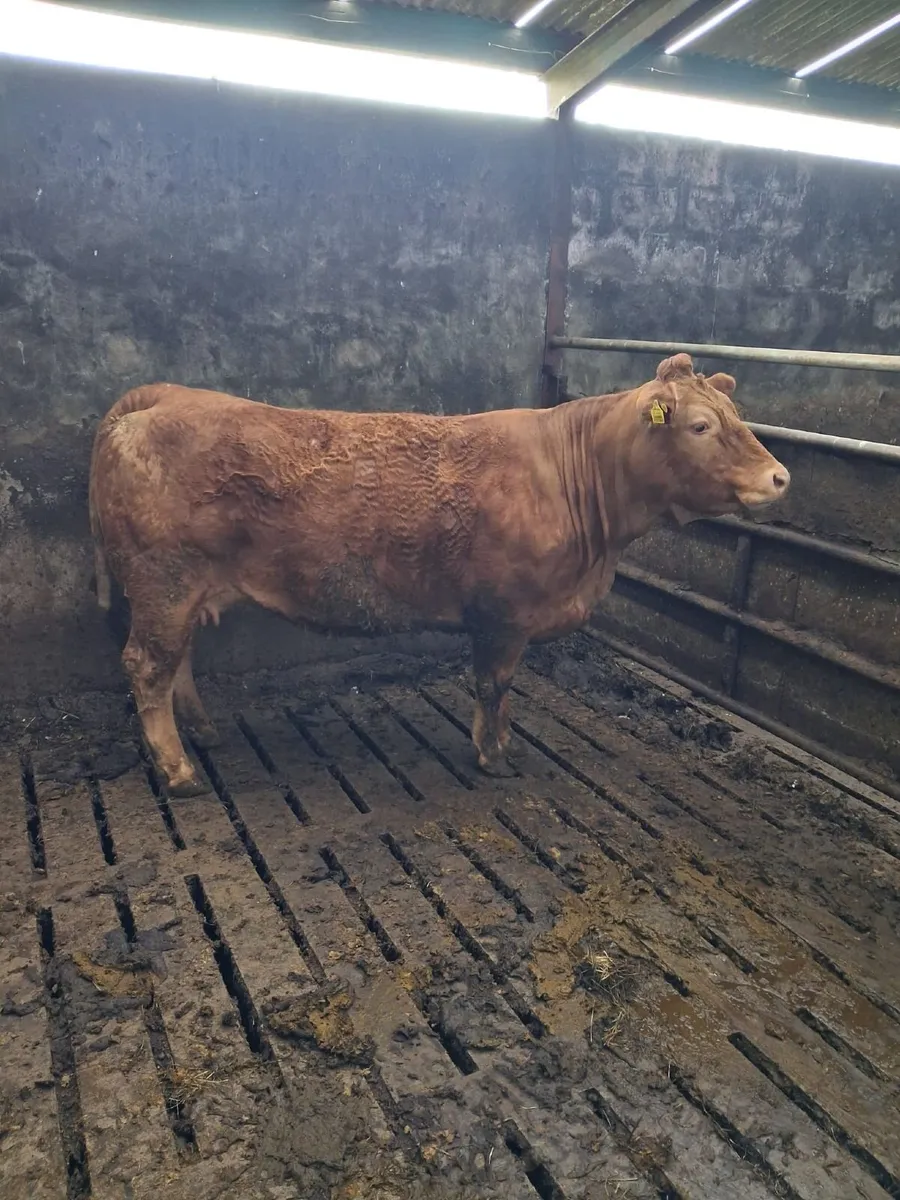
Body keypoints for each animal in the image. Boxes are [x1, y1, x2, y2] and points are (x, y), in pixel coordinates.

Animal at [89, 353, 789, 796]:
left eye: (739, 419)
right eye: (700, 425)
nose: (780, 476)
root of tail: (163, 396)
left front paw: (502, 744)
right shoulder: (504, 614)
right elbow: (493, 685)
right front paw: (493, 756)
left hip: (179, 590)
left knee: (175, 661)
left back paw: (202, 733)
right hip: (162, 581)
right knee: (146, 667)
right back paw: (179, 772)